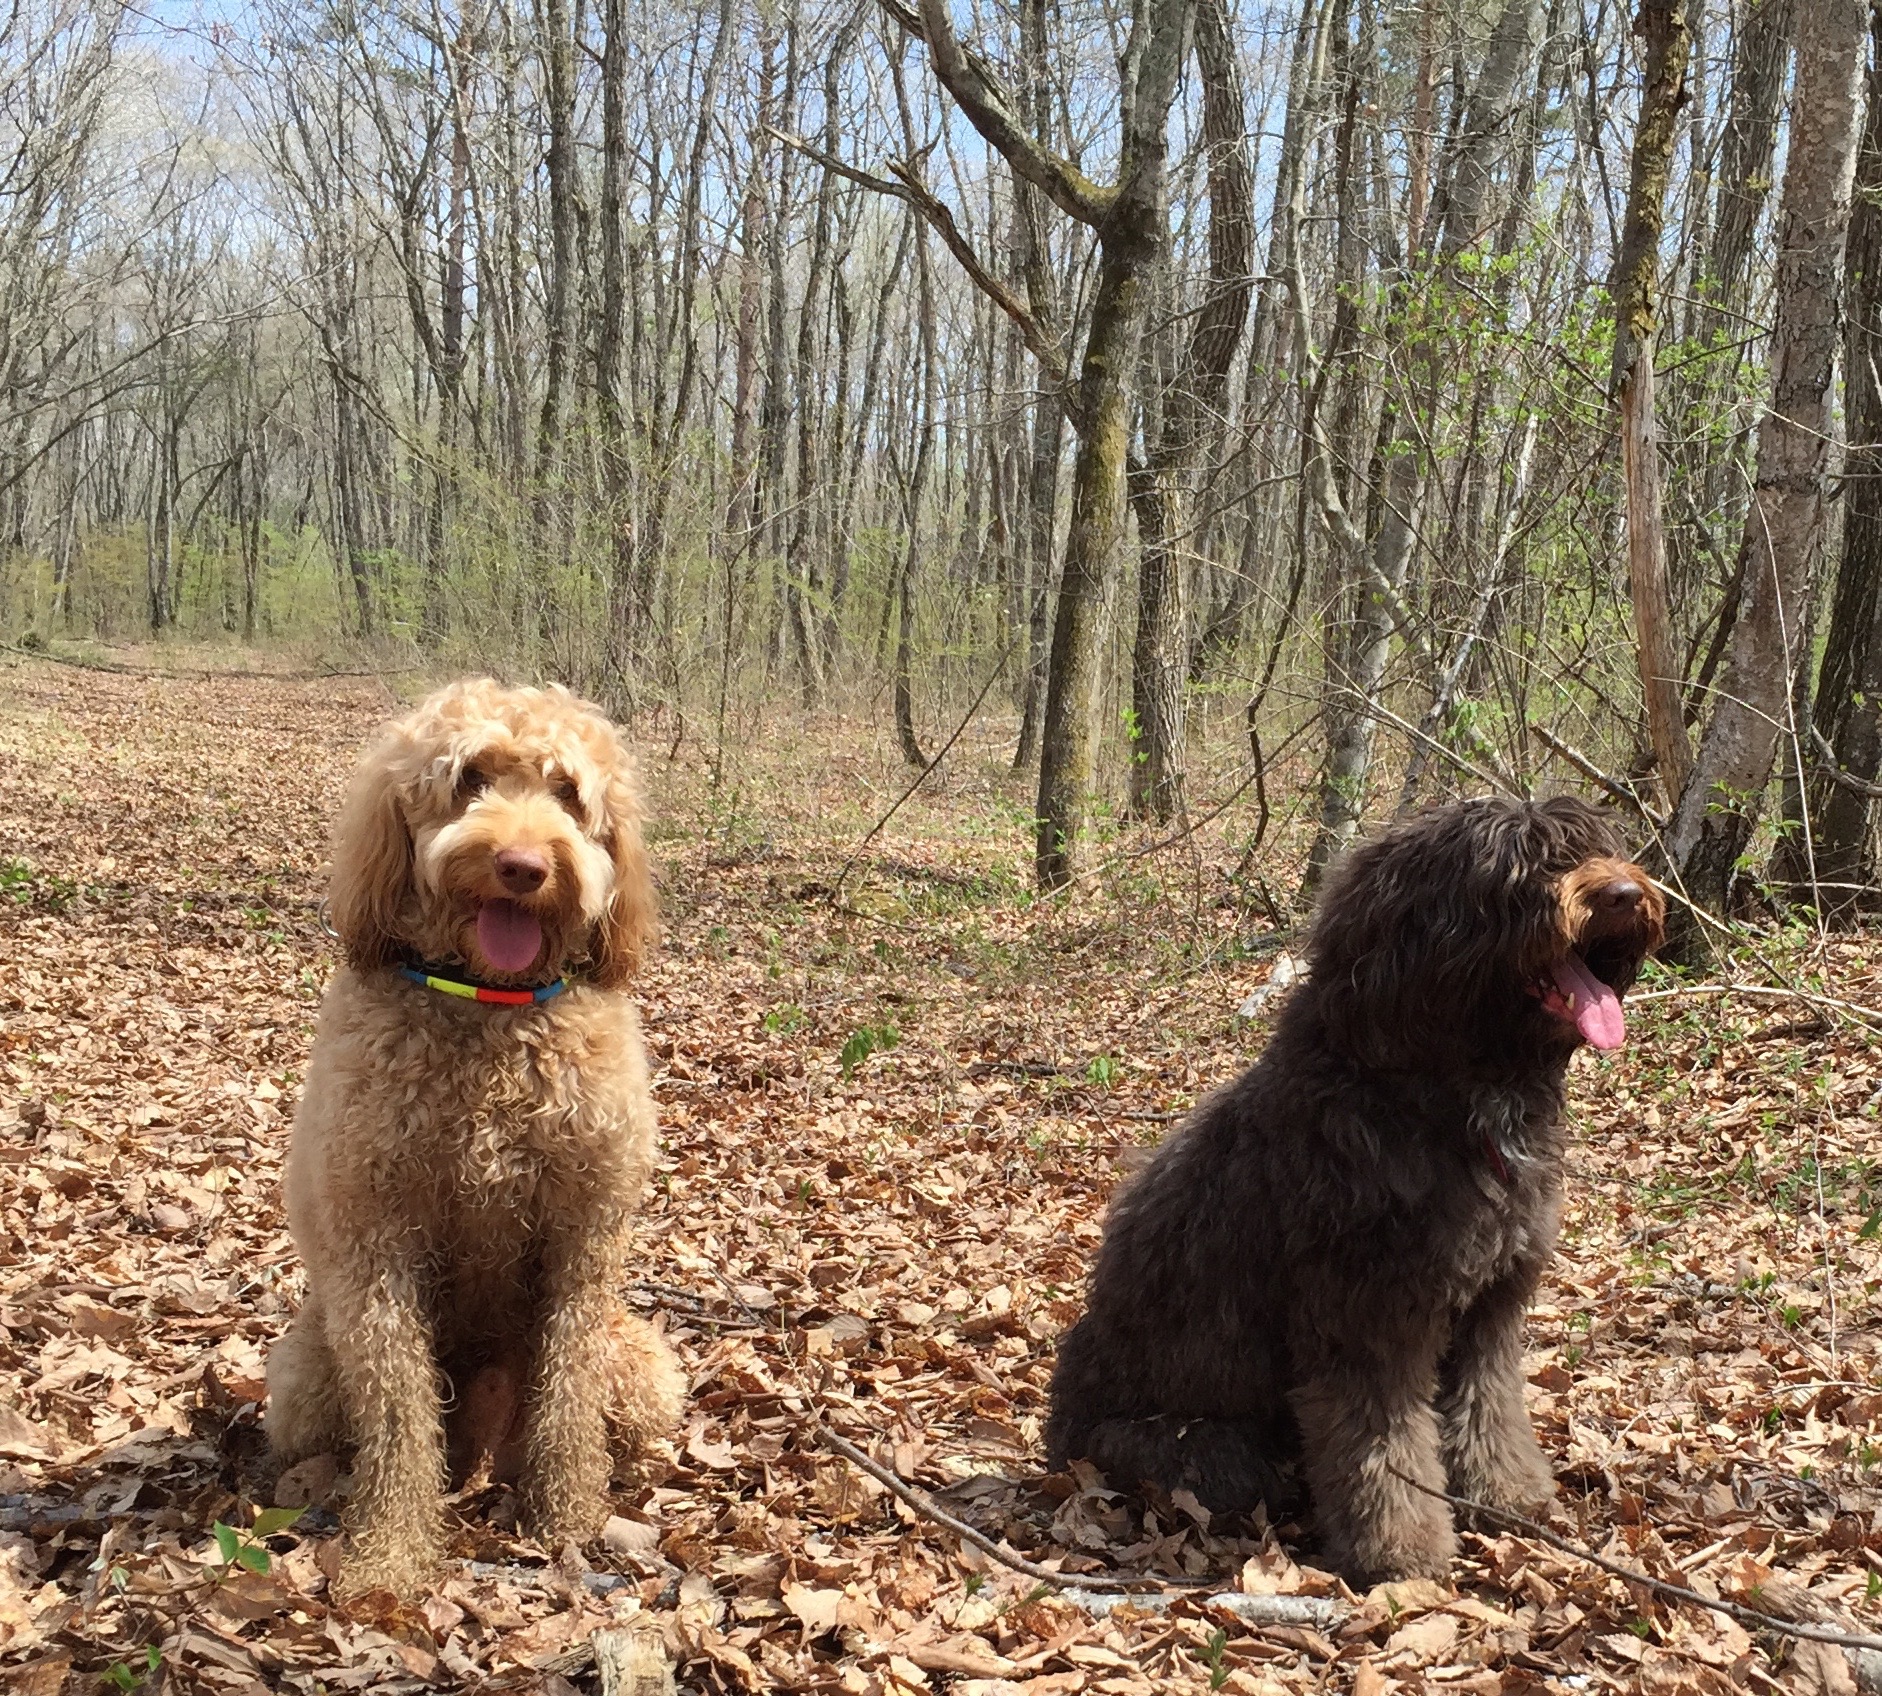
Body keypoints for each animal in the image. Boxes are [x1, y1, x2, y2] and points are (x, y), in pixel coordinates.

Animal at [269, 677, 688, 1603]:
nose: (524, 868)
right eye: (469, 780)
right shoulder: (373, 1236)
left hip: (642, 1364)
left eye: (566, 792)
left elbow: (569, 1389)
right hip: (305, 1373)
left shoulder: (585, 1234)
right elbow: (397, 1408)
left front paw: (566, 1518)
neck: (492, 1011)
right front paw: (388, 1555)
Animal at [1053, 794, 1671, 1588]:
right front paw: (1401, 1550)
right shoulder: (1367, 1318)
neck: (1439, 1093)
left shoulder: (1491, 1303)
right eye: (1521, 868)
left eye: (1589, 847)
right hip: (1203, 1447)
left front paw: (1508, 1496)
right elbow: (1381, 1445)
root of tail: (1059, 1440)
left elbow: (1489, 1407)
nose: (1625, 893)